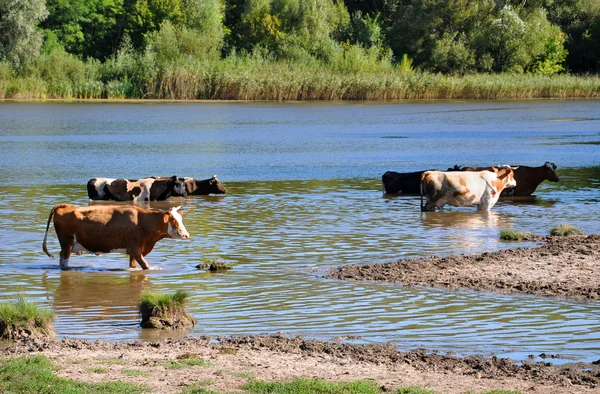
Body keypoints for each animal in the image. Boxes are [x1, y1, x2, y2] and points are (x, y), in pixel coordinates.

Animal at [42, 203, 189, 270]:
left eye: (181, 219)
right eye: (174, 221)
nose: (186, 235)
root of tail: (65, 206)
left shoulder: (134, 251)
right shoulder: (135, 249)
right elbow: (146, 267)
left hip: (67, 246)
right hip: (67, 244)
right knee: (64, 261)